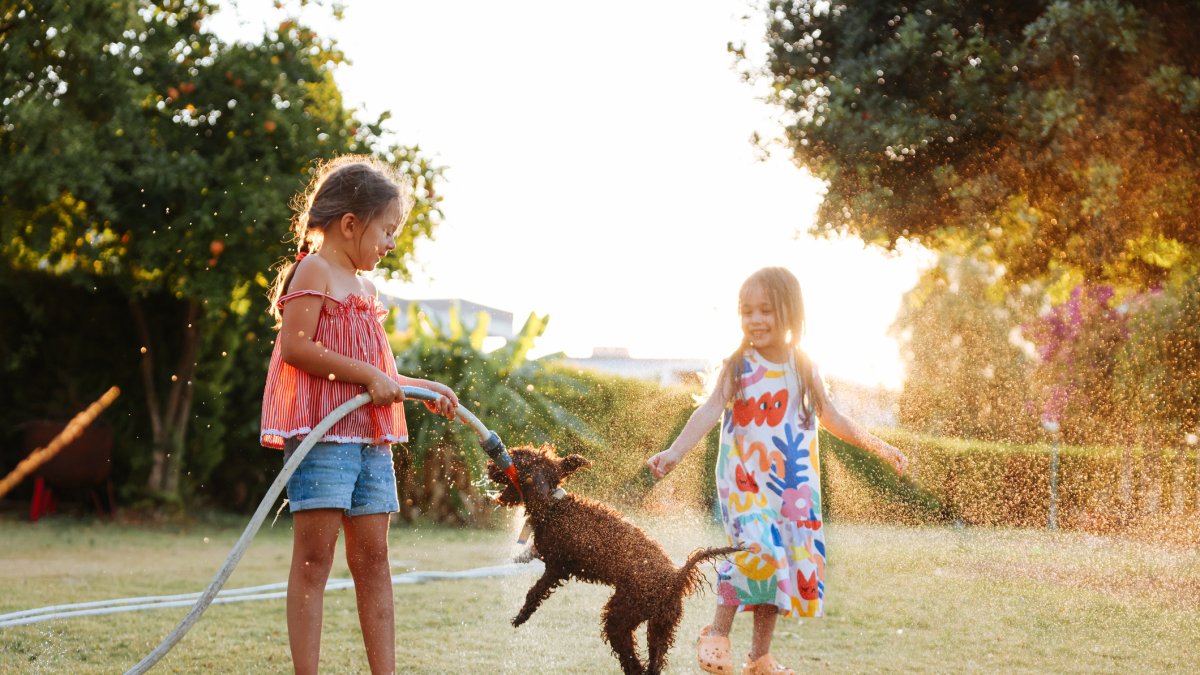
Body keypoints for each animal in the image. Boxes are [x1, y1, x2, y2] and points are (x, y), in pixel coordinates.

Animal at [489, 444, 739, 667]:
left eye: (517, 455)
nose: (489, 464)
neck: (555, 506)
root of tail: (676, 576)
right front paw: (521, 555)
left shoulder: (558, 566)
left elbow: (535, 591)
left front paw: (521, 616)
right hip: (661, 624)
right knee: (653, 663)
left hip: (623, 614)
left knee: (632, 661)